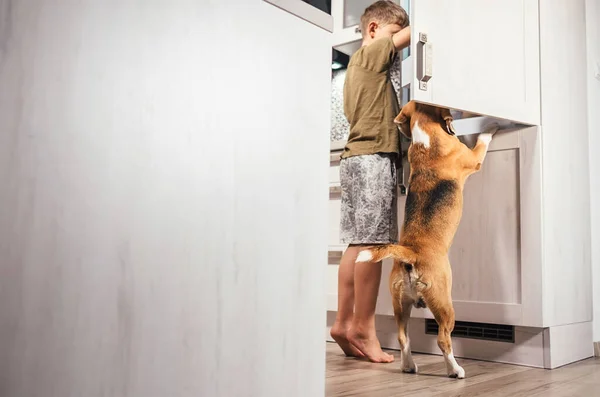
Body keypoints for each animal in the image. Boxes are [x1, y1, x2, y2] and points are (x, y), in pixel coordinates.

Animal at [356, 100, 496, 378]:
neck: (426, 139)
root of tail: (411, 253)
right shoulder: (473, 158)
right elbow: (481, 144)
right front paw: (489, 126)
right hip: (444, 304)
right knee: (443, 339)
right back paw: (455, 370)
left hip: (400, 304)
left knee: (403, 338)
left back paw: (408, 366)